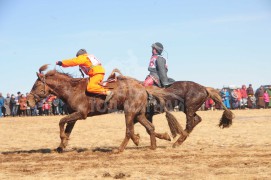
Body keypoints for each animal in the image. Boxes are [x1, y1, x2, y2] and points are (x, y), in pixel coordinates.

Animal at [27, 64, 185, 152]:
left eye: (35, 85)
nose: (28, 102)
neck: (71, 89)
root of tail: (143, 89)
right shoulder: (74, 115)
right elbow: (66, 128)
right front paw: (61, 146)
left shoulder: (81, 113)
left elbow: (61, 122)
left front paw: (63, 141)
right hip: (138, 114)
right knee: (149, 127)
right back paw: (152, 145)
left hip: (129, 112)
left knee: (129, 131)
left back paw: (120, 149)